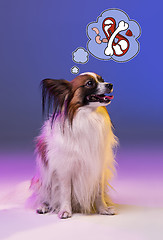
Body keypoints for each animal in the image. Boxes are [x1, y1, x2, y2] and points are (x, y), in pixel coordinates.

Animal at [30, 72, 117, 218]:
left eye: (102, 80)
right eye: (89, 83)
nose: (110, 84)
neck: (88, 116)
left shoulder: (98, 167)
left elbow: (99, 192)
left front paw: (103, 209)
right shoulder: (65, 169)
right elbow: (66, 192)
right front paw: (65, 210)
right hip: (45, 182)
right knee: (43, 197)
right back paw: (43, 206)